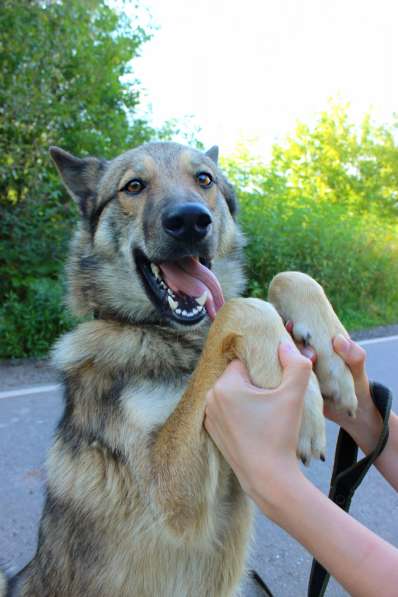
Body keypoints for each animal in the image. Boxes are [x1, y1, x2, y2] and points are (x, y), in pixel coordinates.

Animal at [0, 142, 354, 592]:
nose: (189, 221)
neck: (168, 337)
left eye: (204, 179)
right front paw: (303, 403)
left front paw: (335, 367)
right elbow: (241, 307)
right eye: (133, 186)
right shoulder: (169, 493)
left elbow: (284, 278)